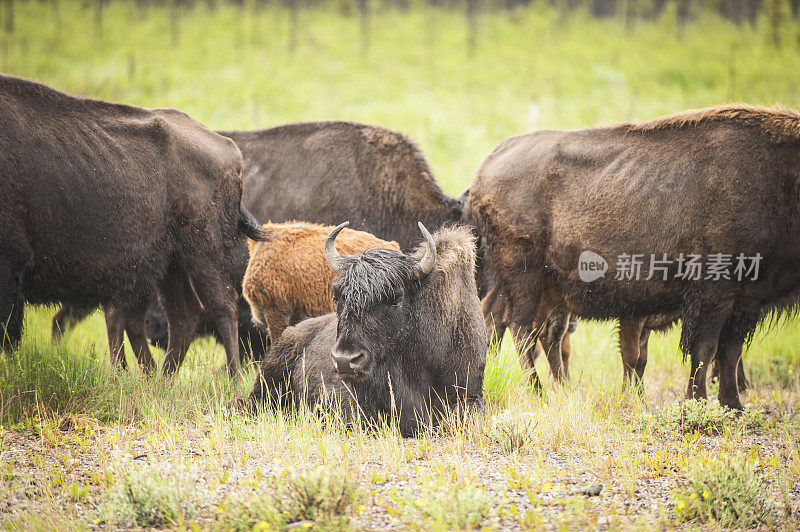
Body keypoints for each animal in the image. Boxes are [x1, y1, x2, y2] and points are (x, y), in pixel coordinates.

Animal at [0, 72, 268, 376]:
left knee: (221, 305)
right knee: (184, 314)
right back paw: (162, 378)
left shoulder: (11, 267)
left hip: (202, 252)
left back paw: (231, 377)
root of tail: (229, 148)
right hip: (170, 265)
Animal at [468, 106, 800, 410]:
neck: (781, 176)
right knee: (521, 328)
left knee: (506, 323)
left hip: (531, 286)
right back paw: (538, 393)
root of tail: (484, 168)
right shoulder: (713, 292)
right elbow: (704, 350)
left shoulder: (746, 301)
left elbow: (730, 352)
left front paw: (733, 406)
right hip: (525, 276)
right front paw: (696, 403)